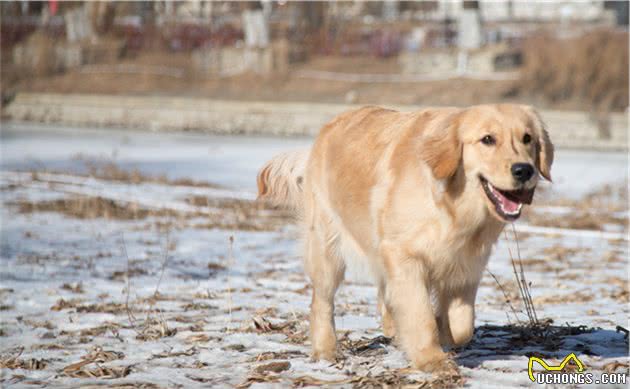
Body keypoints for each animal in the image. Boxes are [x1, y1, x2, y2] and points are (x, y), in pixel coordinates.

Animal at [256, 103, 552, 370]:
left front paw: (444, 332)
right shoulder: (404, 256)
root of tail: (326, 129)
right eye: (487, 139)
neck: (451, 206)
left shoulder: (468, 265)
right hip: (327, 249)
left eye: (527, 138)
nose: (524, 170)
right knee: (322, 302)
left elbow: (462, 325)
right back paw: (326, 350)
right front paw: (431, 359)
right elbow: (420, 314)